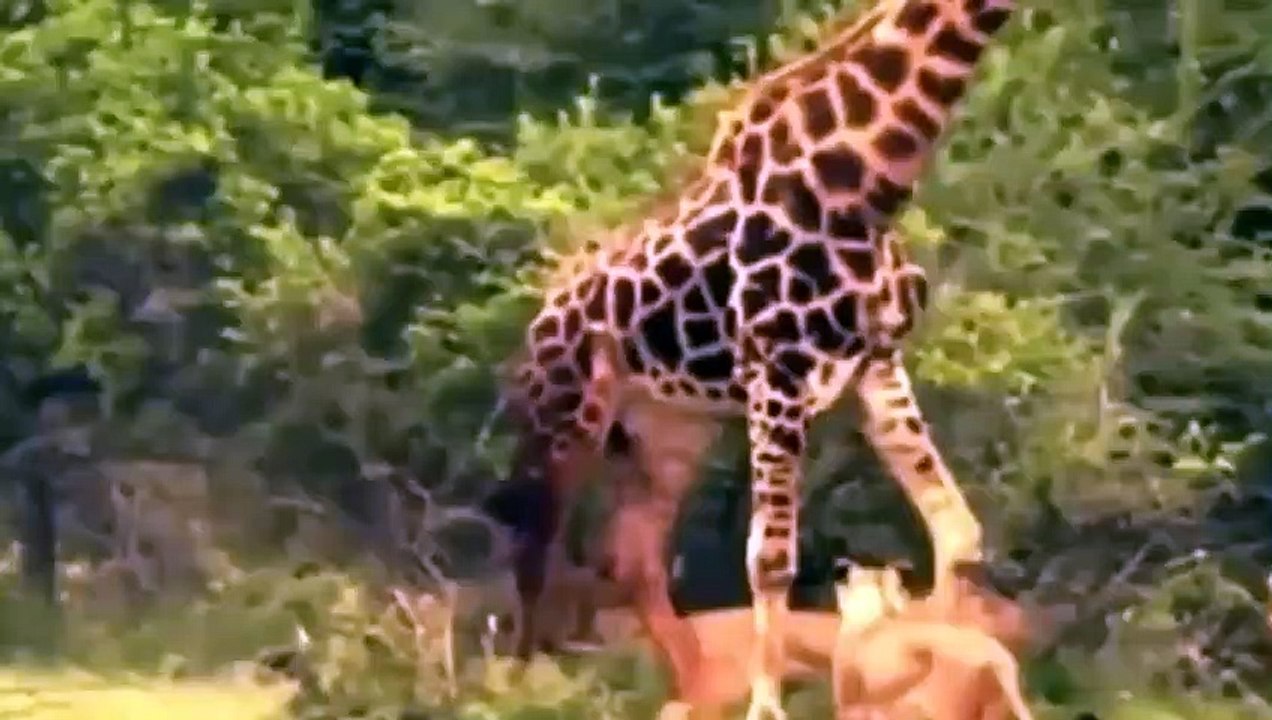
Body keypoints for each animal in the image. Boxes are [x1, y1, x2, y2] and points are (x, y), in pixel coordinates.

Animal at [491, 0, 1016, 717]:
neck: (866, 178)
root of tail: (538, 319)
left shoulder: (876, 362)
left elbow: (955, 529)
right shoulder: (778, 368)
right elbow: (770, 558)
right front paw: (766, 707)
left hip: (668, 430)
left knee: (632, 555)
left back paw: (694, 690)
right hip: (565, 412)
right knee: (534, 542)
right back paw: (521, 685)